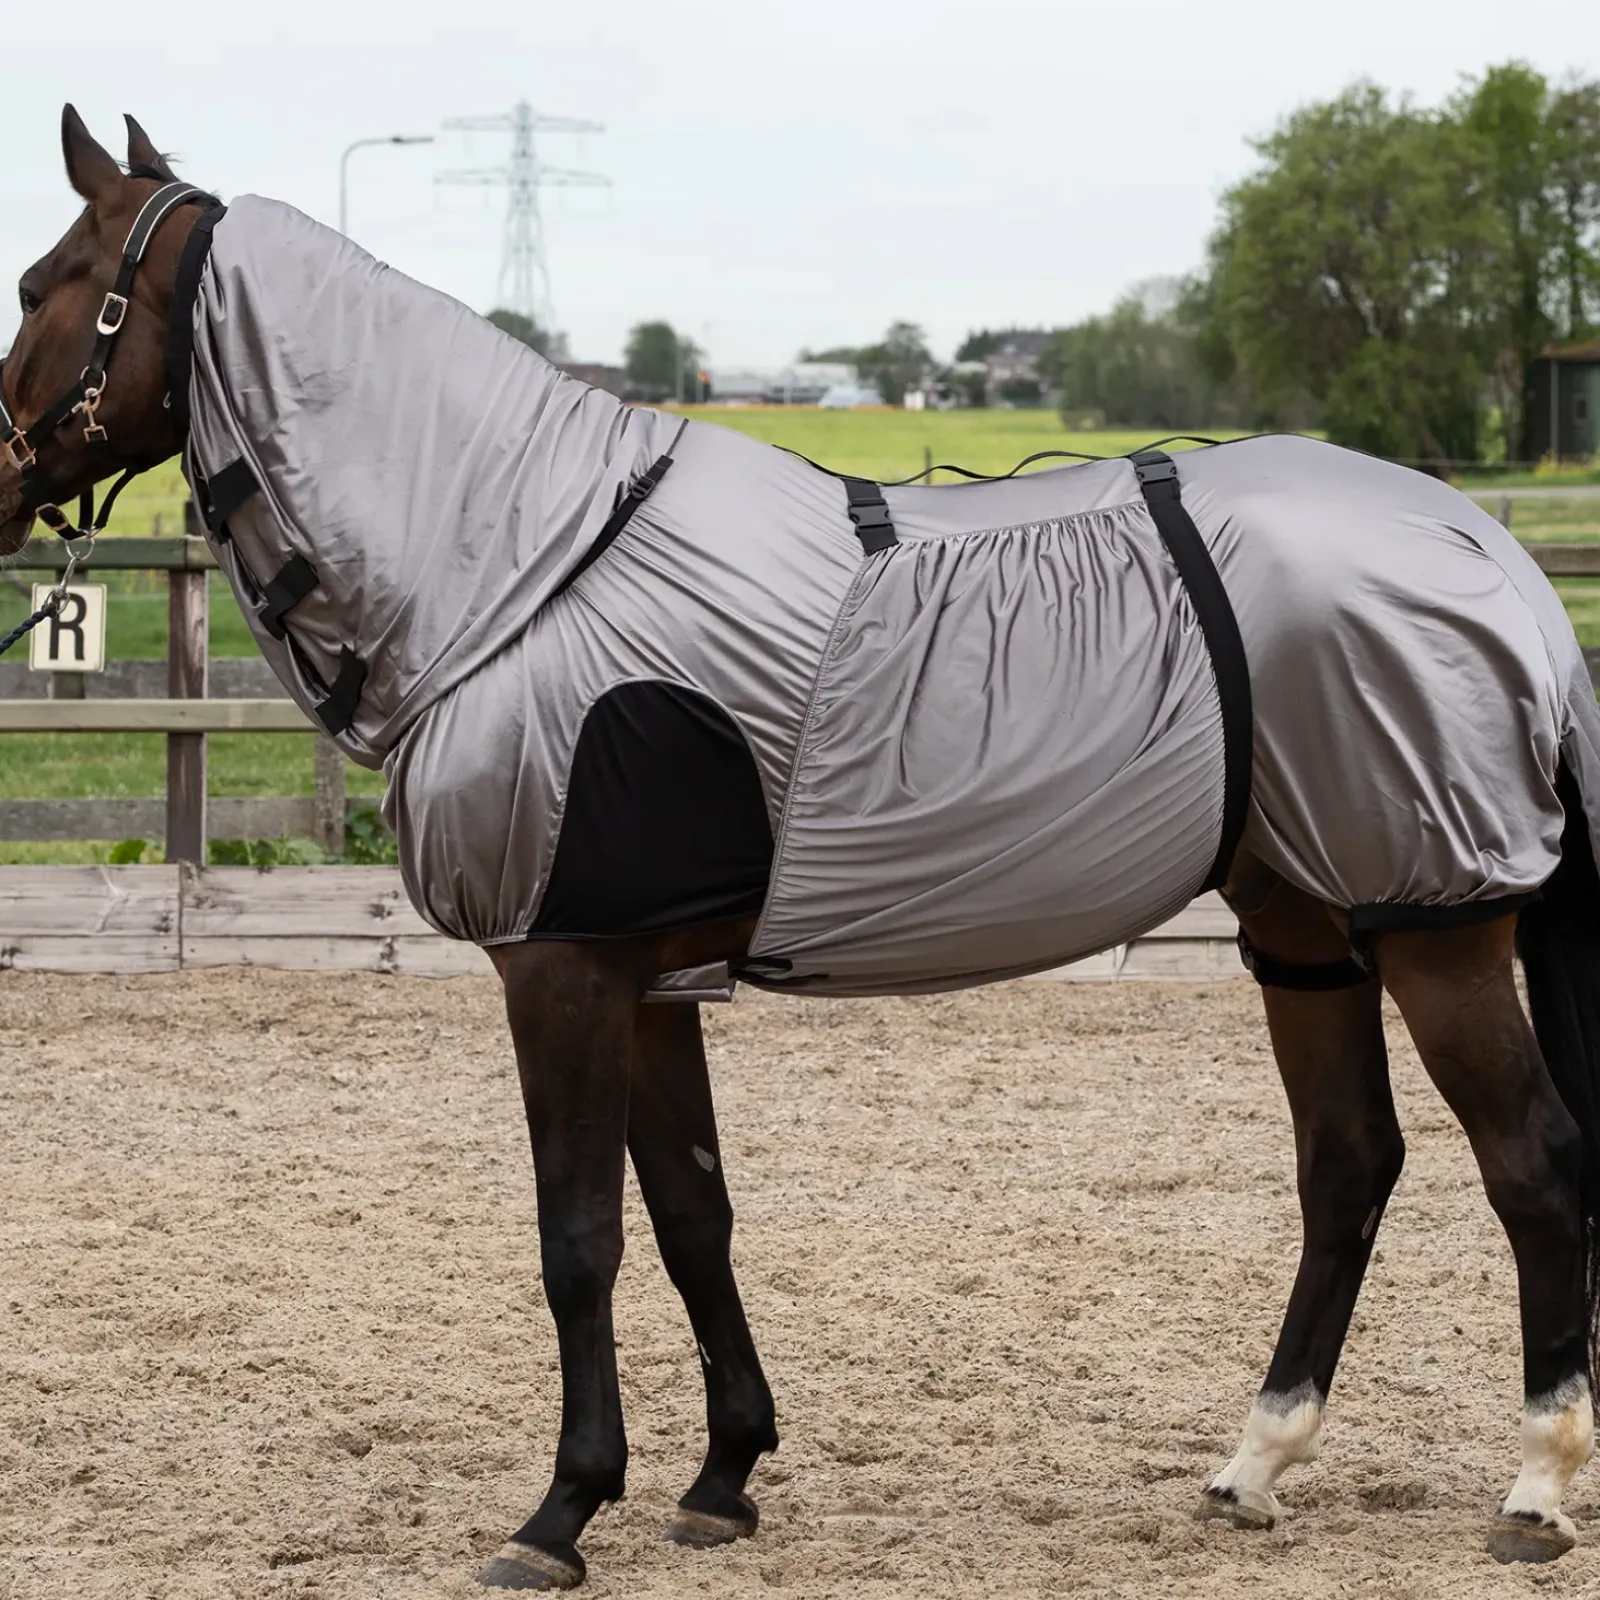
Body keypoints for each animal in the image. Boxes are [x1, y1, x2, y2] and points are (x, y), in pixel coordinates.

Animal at [5, 106, 1600, 1593]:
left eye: (41, 282)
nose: (2, 486)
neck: (524, 563)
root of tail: (1487, 550)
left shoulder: (560, 964)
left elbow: (577, 1235)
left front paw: (561, 1511)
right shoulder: (649, 979)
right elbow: (691, 1213)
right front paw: (721, 1478)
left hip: (1436, 923)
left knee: (1531, 1164)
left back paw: (1533, 1486)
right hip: (1305, 928)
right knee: (1348, 1163)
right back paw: (1254, 1464)